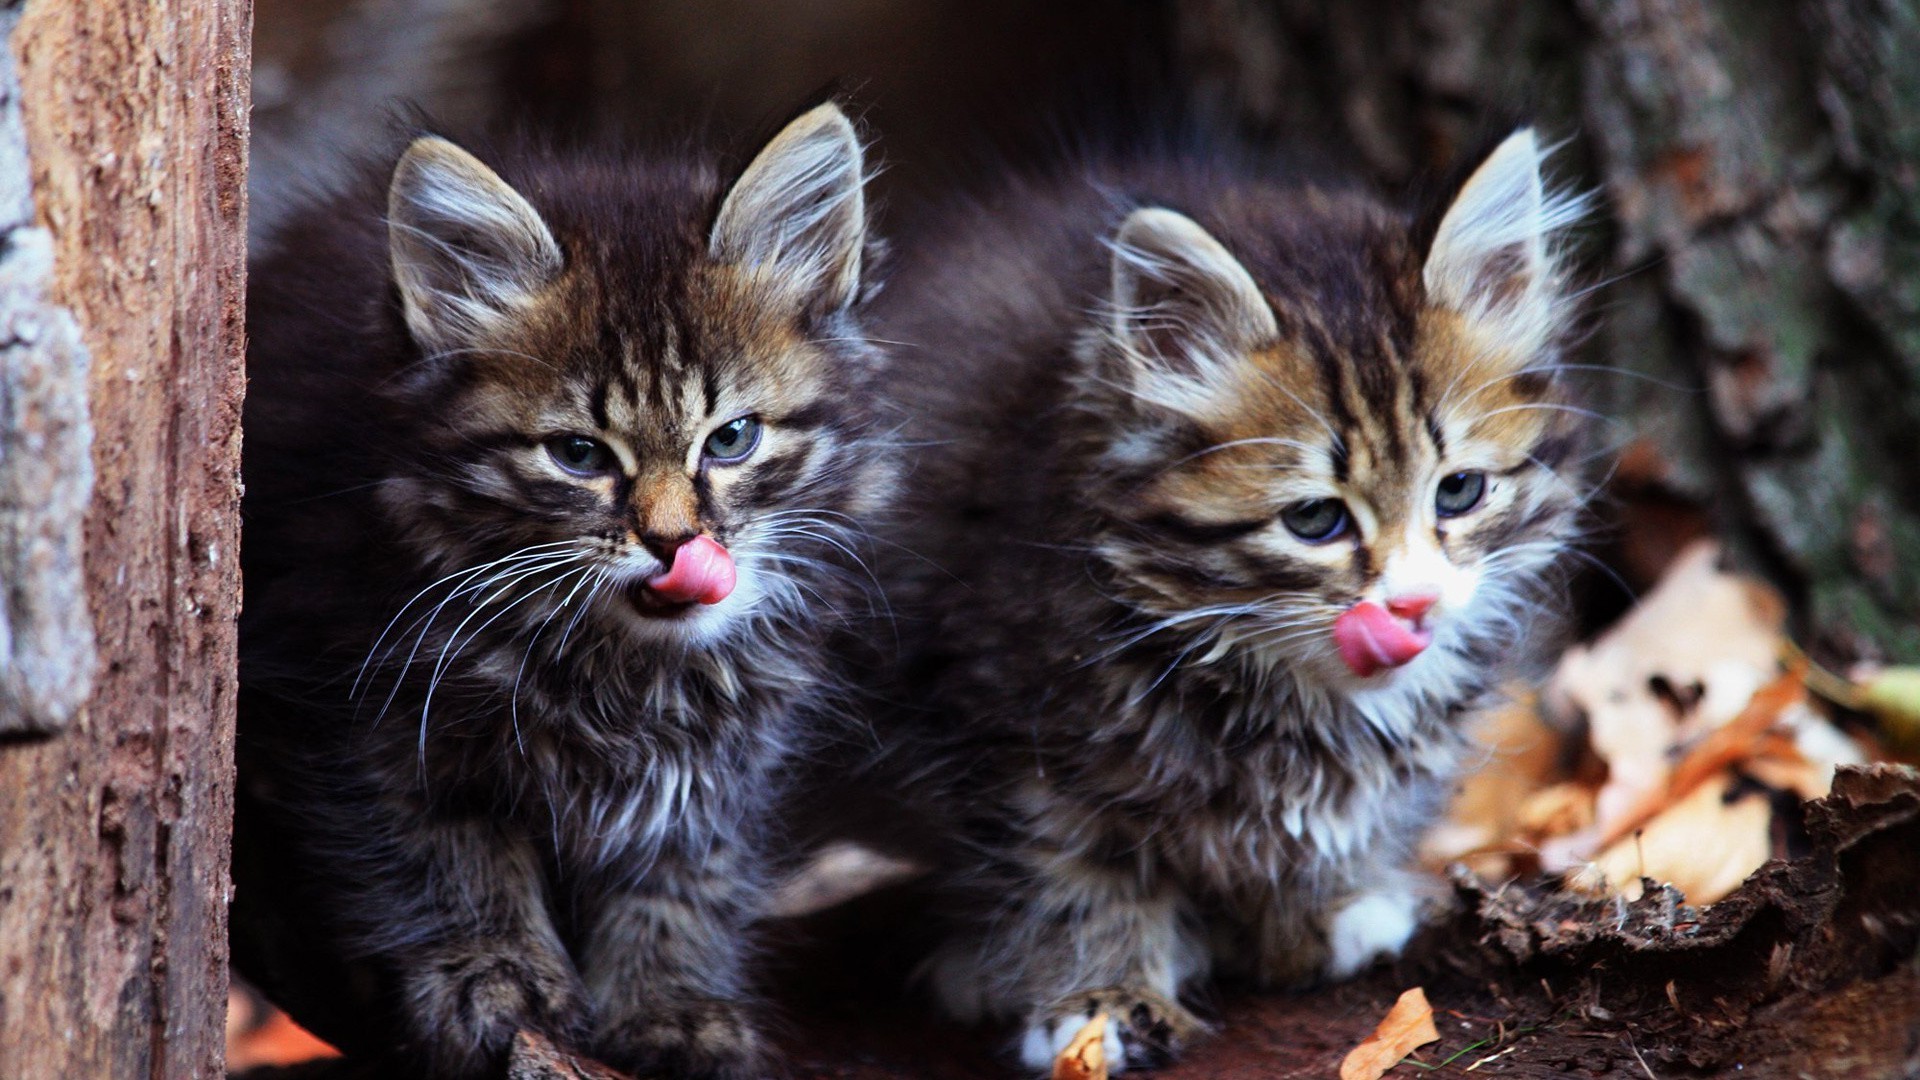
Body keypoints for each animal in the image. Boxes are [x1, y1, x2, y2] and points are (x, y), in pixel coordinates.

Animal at [230, 107, 883, 1076]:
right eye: (578, 455)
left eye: (731, 439)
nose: (674, 543)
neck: (620, 665)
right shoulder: (364, 705)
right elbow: (449, 854)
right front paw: (496, 974)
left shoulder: (726, 746)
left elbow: (683, 871)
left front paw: (670, 1004)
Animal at [875, 132, 1589, 1068]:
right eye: (1316, 519)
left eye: (1460, 492)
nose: (1414, 606)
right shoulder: (1007, 733)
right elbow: (1066, 871)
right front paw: (1098, 1001)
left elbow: (1331, 825)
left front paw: (1313, 922)